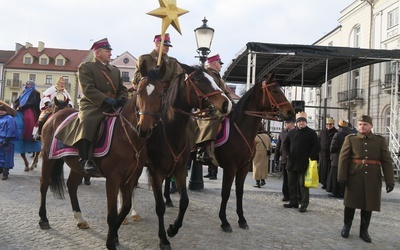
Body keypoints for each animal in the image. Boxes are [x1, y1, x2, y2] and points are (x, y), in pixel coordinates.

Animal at [38, 61, 166, 250]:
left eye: (160, 94)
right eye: (140, 92)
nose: (144, 128)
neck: (128, 135)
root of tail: (55, 115)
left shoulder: (131, 177)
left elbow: (125, 207)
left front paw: (114, 235)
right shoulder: (113, 178)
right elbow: (112, 213)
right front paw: (110, 241)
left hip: (77, 165)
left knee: (71, 185)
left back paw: (80, 218)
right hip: (48, 158)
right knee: (44, 185)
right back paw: (43, 219)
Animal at [144, 63, 231, 249]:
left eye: (214, 78)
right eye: (198, 79)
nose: (226, 103)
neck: (171, 132)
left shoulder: (180, 170)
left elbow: (184, 201)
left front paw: (173, 229)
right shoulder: (155, 172)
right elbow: (159, 207)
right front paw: (163, 239)